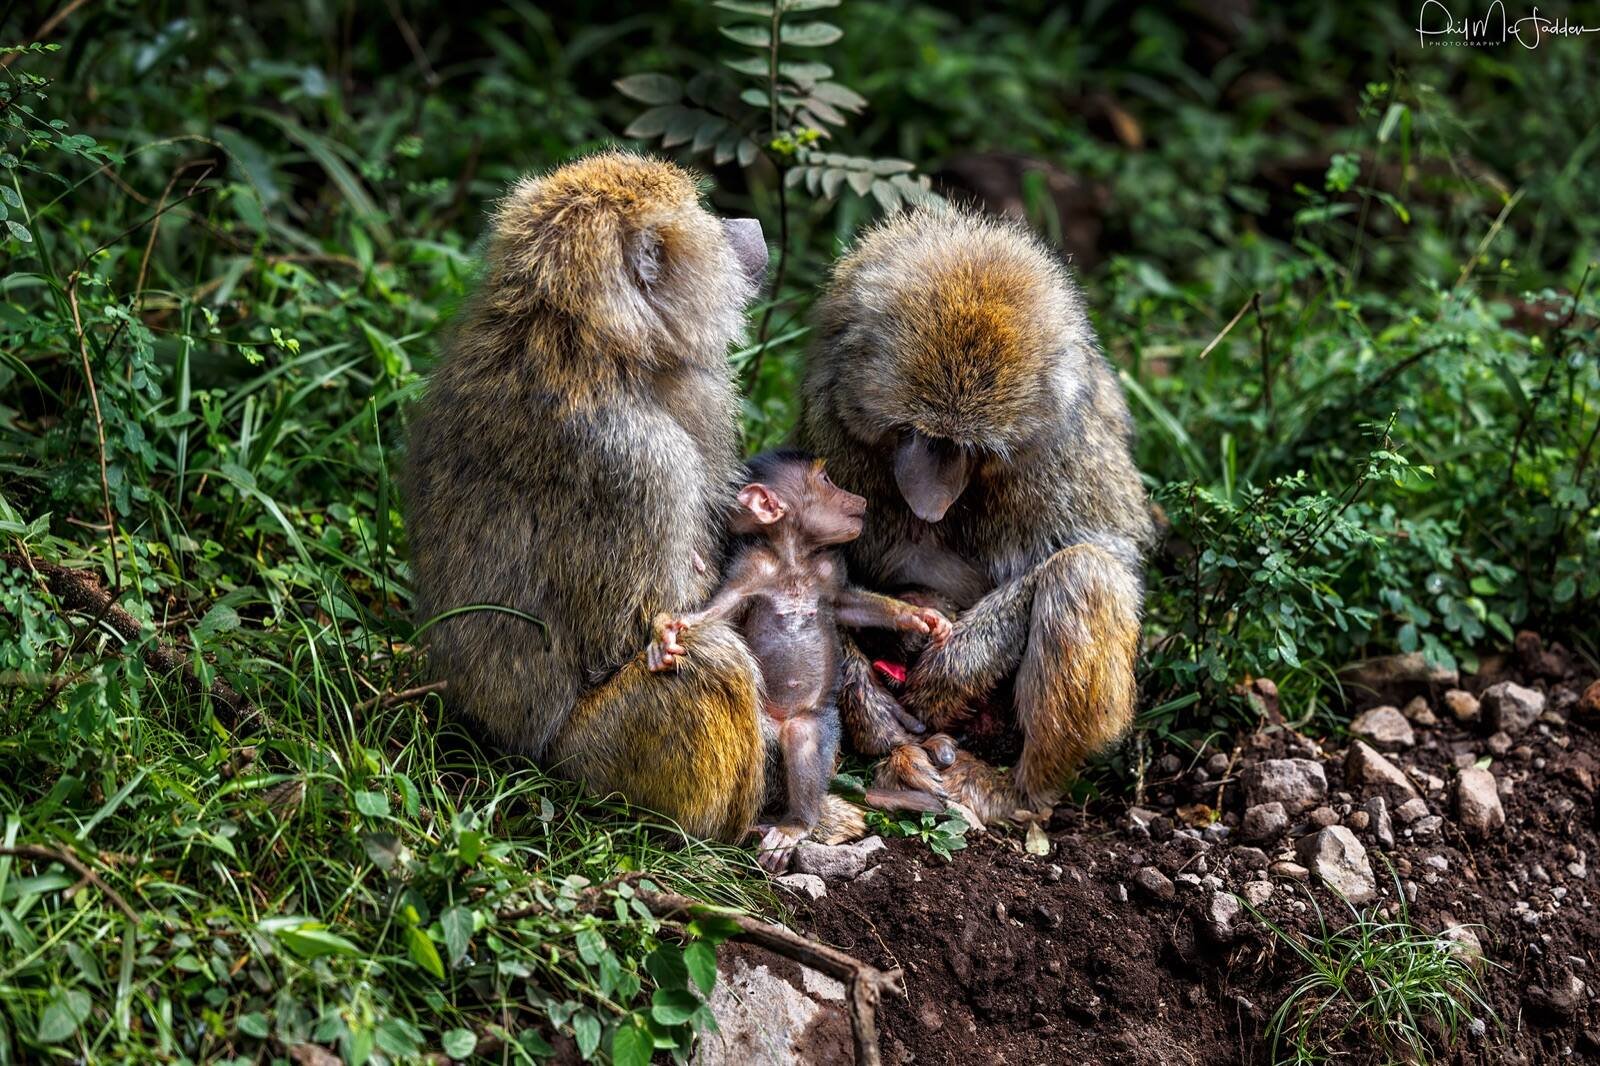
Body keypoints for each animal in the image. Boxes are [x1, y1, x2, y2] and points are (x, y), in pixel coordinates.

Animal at [404, 150, 775, 843]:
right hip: (590, 760)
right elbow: (640, 634)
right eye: (707, 217)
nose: (752, 225)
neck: (580, 335)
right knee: (710, 660)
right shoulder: (640, 462)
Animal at [645, 449, 952, 872]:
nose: (856, 497)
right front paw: (667, 635)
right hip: (761, 721)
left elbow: (847, 605)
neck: (794, 560)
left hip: (807, 719)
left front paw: (921, 618)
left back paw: (797, 824)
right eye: (825, 481)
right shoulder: (753, 568)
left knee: (804, 738)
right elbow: (719, 610)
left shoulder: (827, 571)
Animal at [798, 208, 1155, 825]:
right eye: (916, 431)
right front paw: (867, 705)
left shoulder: (1059, 448)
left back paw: (1019, 791)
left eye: (970, 446)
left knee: (1084, 572)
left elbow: (1111, 549)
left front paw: (956, 666)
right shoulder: (833, 428)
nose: (930, 497)